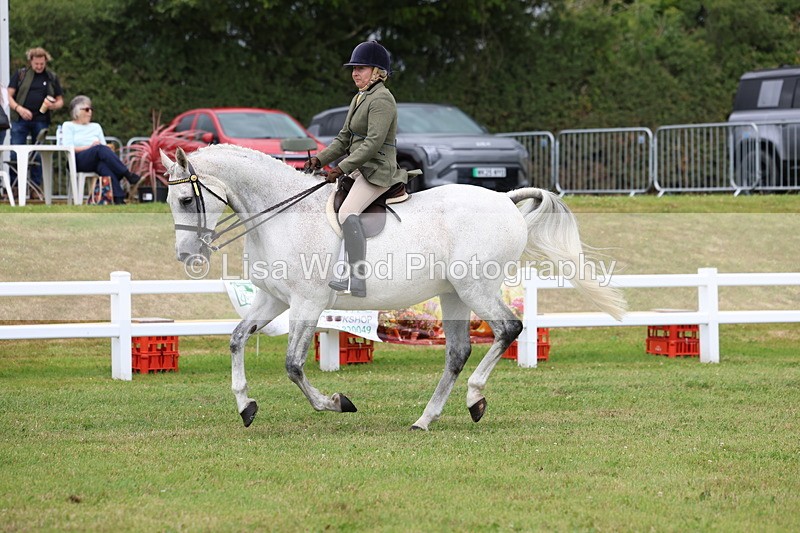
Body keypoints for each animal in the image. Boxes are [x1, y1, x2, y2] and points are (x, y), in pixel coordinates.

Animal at [161, 144, 626, 430]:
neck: (282, 214)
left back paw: (474, 400)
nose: (187, 256)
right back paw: (426, 419)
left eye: (185, 201)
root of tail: (503, 199)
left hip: (475, 287)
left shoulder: (307, 301)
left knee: (508, 329)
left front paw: (336, 402)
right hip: (453, 294)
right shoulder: (273, 299)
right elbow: (237, 338)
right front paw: (246, 406)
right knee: (458, 352)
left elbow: (293, 365)